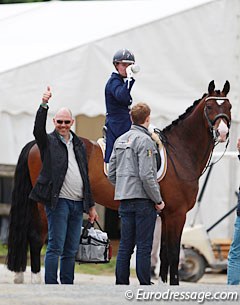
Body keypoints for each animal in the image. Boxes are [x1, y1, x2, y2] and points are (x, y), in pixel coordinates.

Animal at [6, 79, 232, 284]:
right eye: (209, 107)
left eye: (229, 107)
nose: (222, 133)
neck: (180, 153)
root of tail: (38, 142)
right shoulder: (177, 214)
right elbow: (174, 253)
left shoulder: (166, 215)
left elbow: (165, 253)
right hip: (43, 204)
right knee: (37, 236)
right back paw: (37, 279)